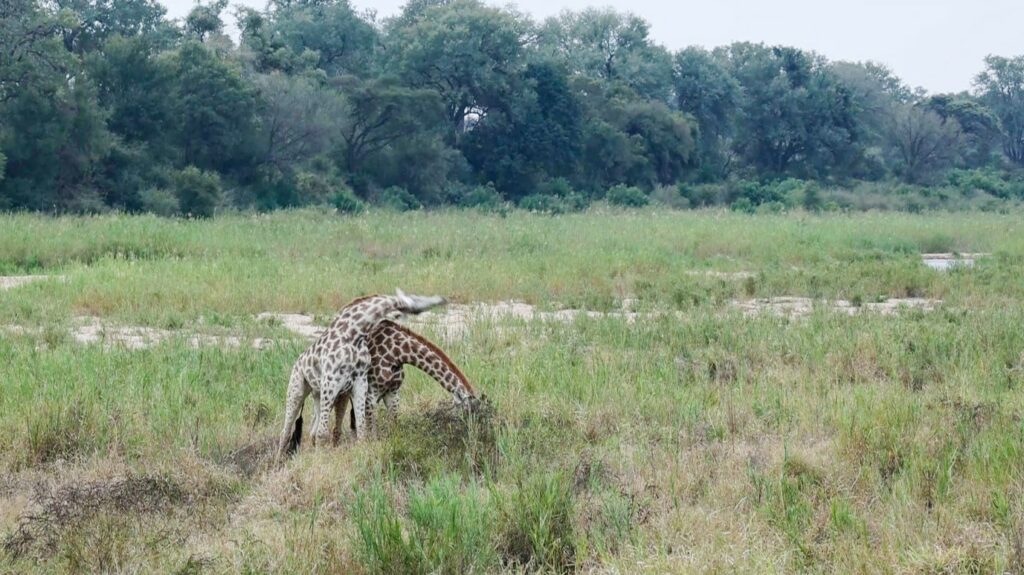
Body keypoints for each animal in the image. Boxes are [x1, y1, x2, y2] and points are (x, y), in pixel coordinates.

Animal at [274, 288, 446, 462]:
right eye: (417, 298)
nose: (442, 300)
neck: (354, 333)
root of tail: (297, 362)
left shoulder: (360, 382)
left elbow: (362, 429)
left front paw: (362, 454)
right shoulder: (331, 381)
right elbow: (323, 434)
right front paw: (320, 461)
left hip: (319, 394)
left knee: (312, 431)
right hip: (298, 388)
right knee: (286, 431)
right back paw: (279, 461)